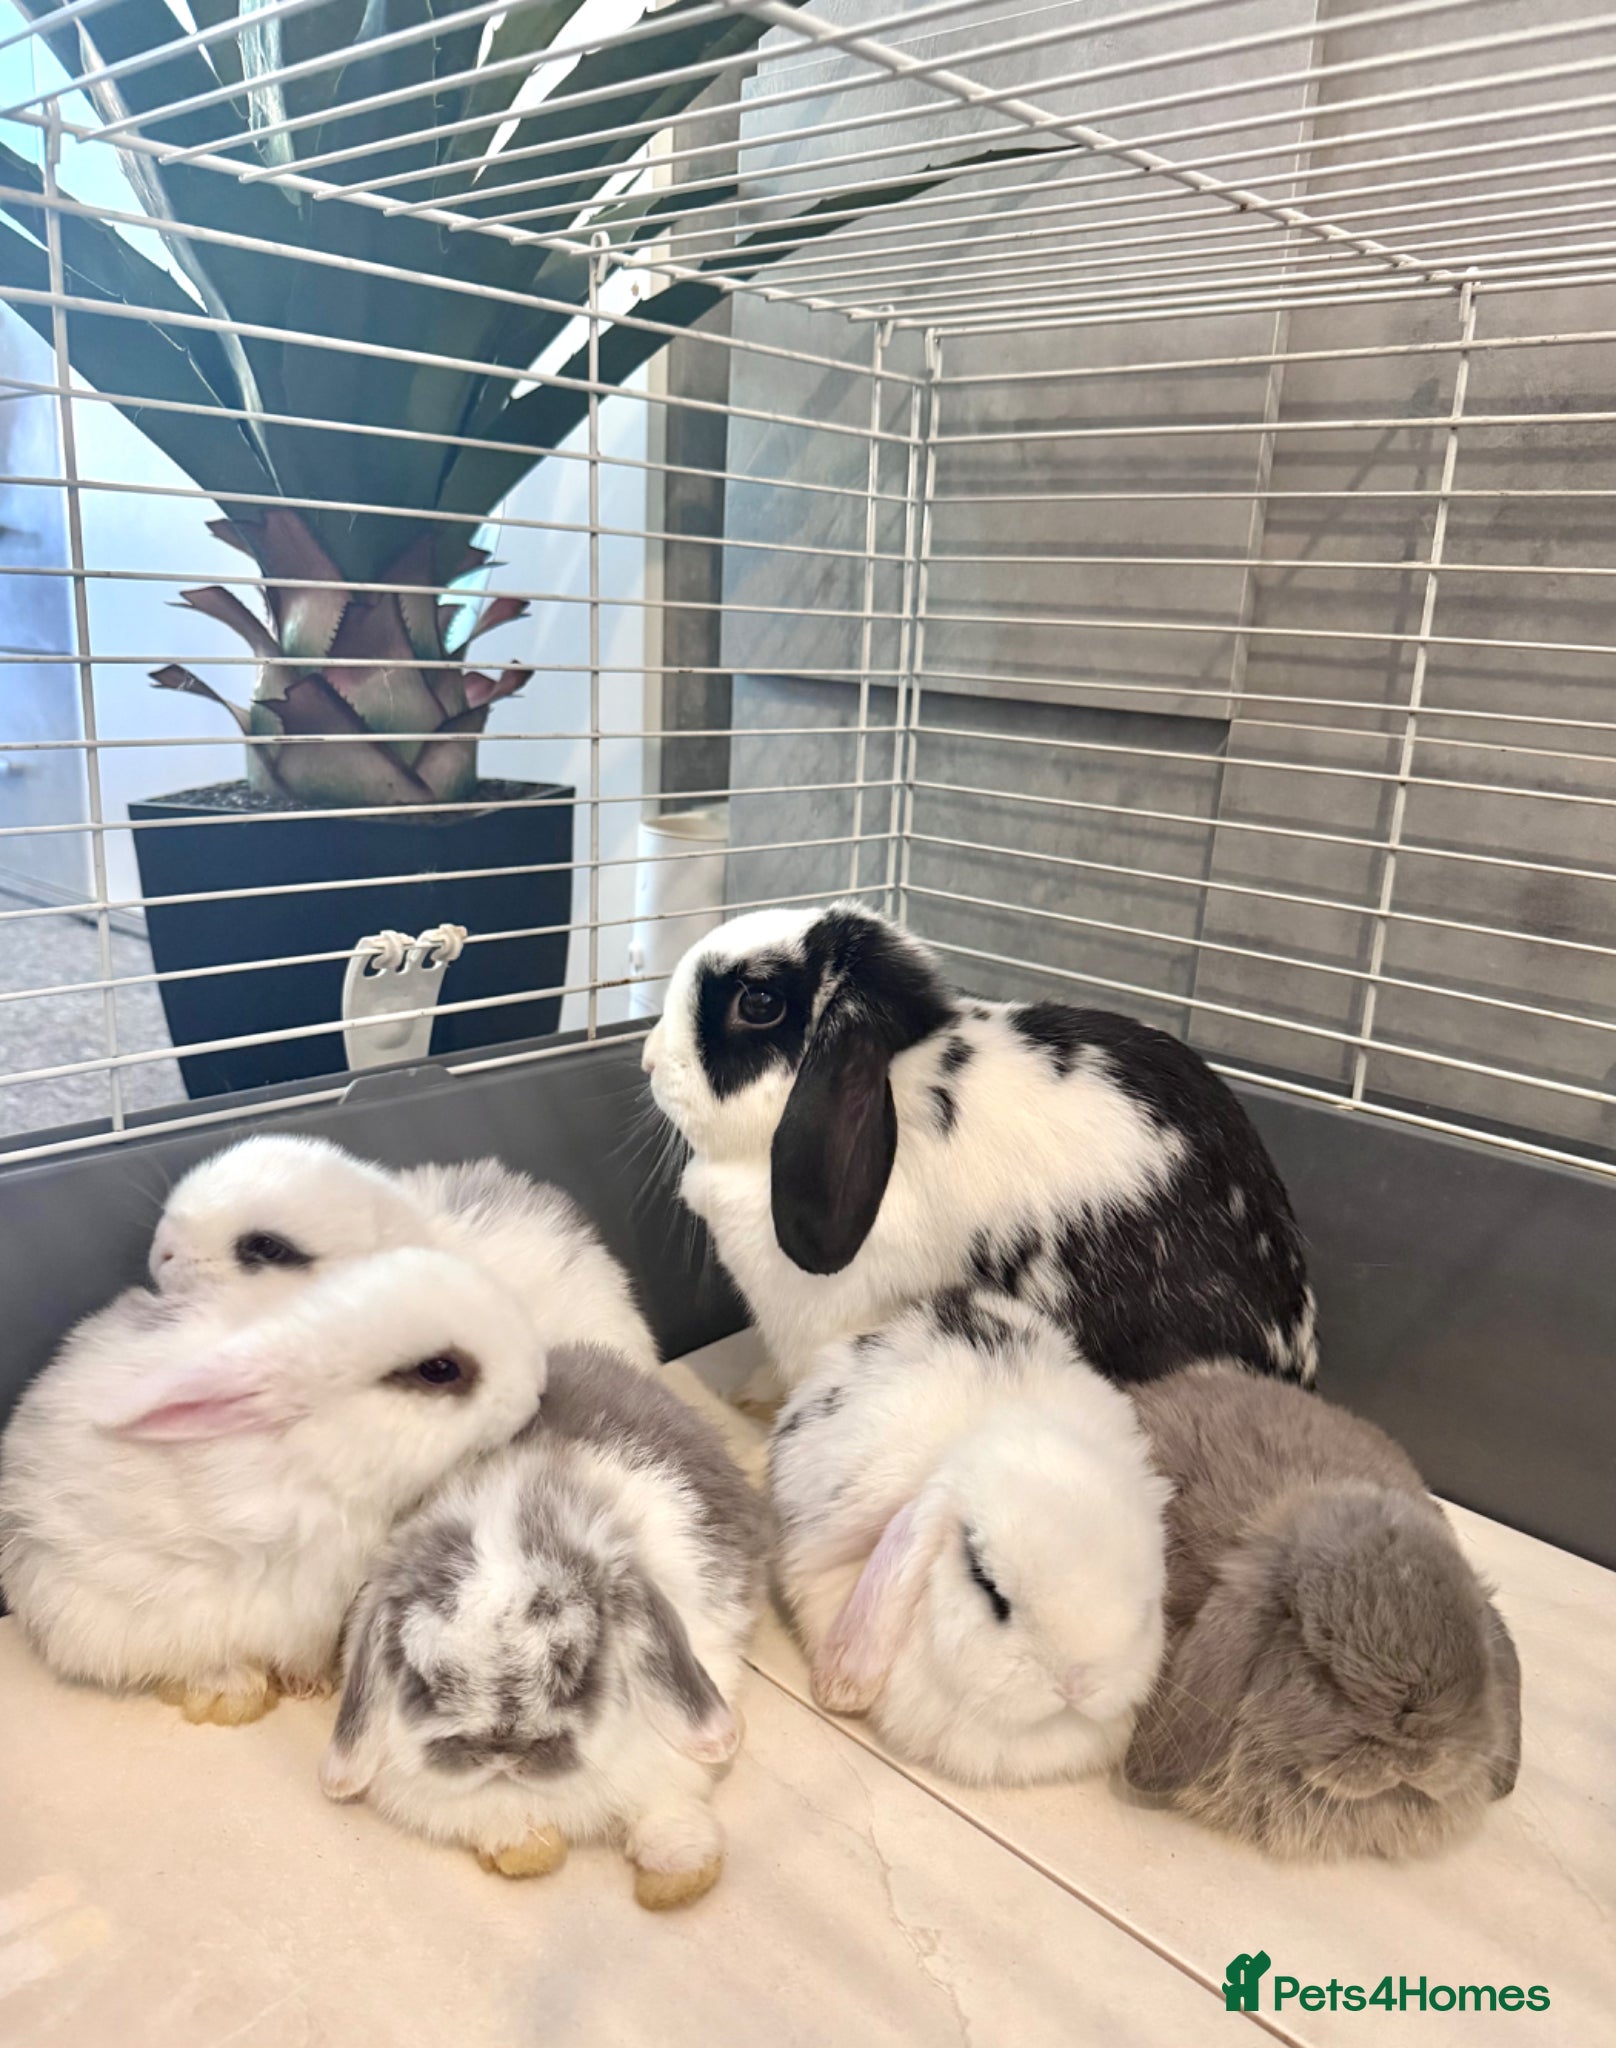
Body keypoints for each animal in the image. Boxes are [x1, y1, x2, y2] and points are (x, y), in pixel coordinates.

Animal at [0, 1247, 545, 1725]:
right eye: (439, 1369)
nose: (538, 1387)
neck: (319, 1450)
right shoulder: (311, 1600)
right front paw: (313, 1685)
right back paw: (231, 1692)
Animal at [319, 1341, 764, 1909]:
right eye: (426, 1679)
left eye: (574, 1666)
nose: (503, 1752)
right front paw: (526, 1851)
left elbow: (667, 1807)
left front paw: (680, 1876)